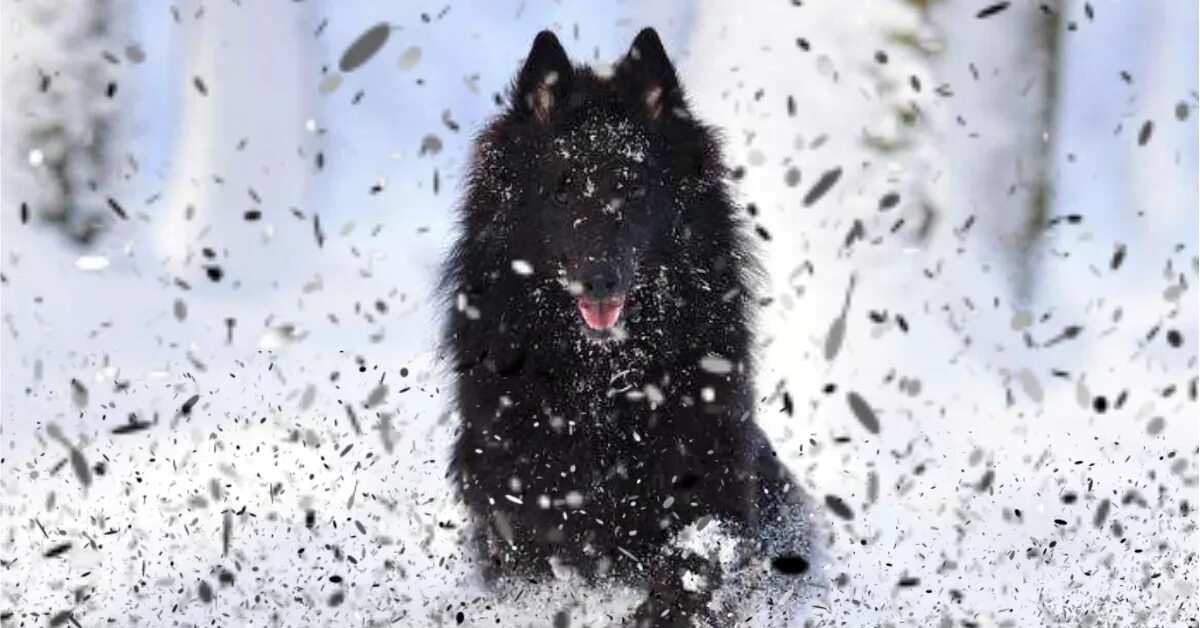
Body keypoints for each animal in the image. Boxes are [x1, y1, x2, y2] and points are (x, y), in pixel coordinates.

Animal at [441, 27, 816, 624]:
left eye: (632, 187)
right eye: (563, 188)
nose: (600, 279)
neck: (603, 381)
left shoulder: (708, 479)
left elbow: (693, 569)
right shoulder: (517, 500)